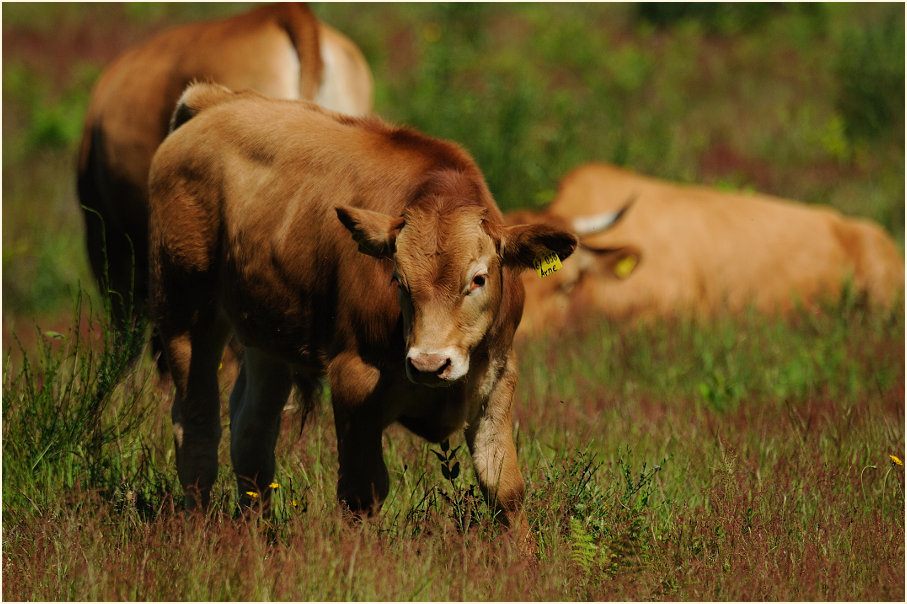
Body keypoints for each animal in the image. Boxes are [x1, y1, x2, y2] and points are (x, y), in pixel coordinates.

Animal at [149, 80, 576, 548]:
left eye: (478, 278)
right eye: (398, 279)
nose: (429, 364)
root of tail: (214, 101)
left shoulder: (497, 375)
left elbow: (504, 485)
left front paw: (521, 558)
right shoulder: (354, 380)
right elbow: (362, 491)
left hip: (266, 335)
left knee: (252, 434)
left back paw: (253, 534)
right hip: (186, 312)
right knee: (197, 424)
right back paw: (196, 531)